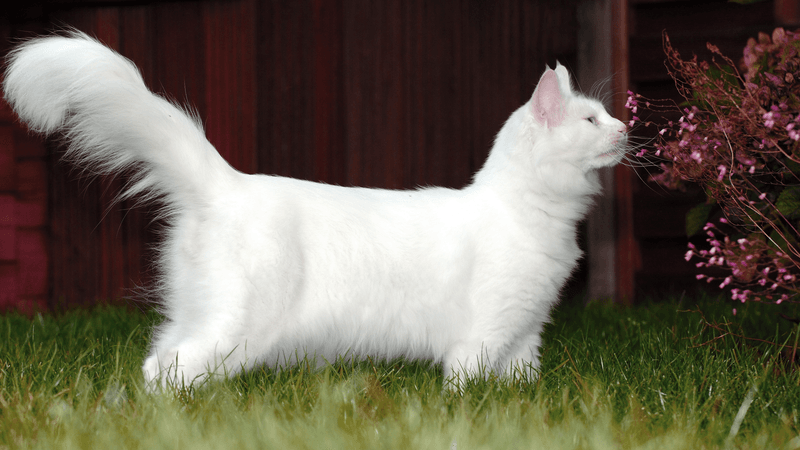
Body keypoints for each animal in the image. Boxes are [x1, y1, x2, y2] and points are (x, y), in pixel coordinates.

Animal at [3, 32, 628, 390]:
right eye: (591, 120)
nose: (625, 128)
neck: (537, 217)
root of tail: (226, 183)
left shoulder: (526, 332)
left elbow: (521, 386)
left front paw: (519, 408)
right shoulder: (486, 331)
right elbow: (466, 387)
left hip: (199, 316)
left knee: (156, 362)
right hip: (239, 328)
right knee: (167, 370)